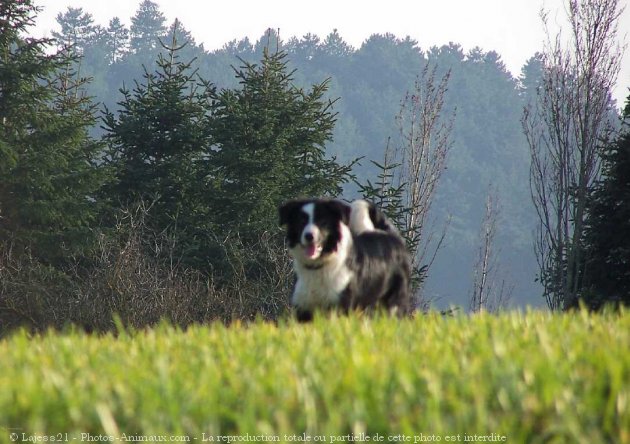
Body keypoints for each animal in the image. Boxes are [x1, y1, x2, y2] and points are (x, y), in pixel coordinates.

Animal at [278, 199, 412, 320]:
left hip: (393, 301)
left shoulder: (341, 305)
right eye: (301, 221)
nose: (309, 236)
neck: (319, 266)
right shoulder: (303, 307)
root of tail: (390, 234)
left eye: (322, 221)